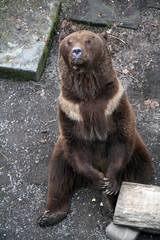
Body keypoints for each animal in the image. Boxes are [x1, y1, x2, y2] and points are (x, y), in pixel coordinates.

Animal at [37, 30, 152, 227]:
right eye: (69, 42)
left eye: (88, 40)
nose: (76, 51)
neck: (89, 93)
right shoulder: (69, 110)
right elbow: (74, 144)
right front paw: (99, 179)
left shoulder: (114, 104)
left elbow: (121, 139)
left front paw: (110, 184)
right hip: (62, 153)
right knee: (58, 173)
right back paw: (50, 215)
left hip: (138, 153)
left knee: (138, 173)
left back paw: (110, 202)